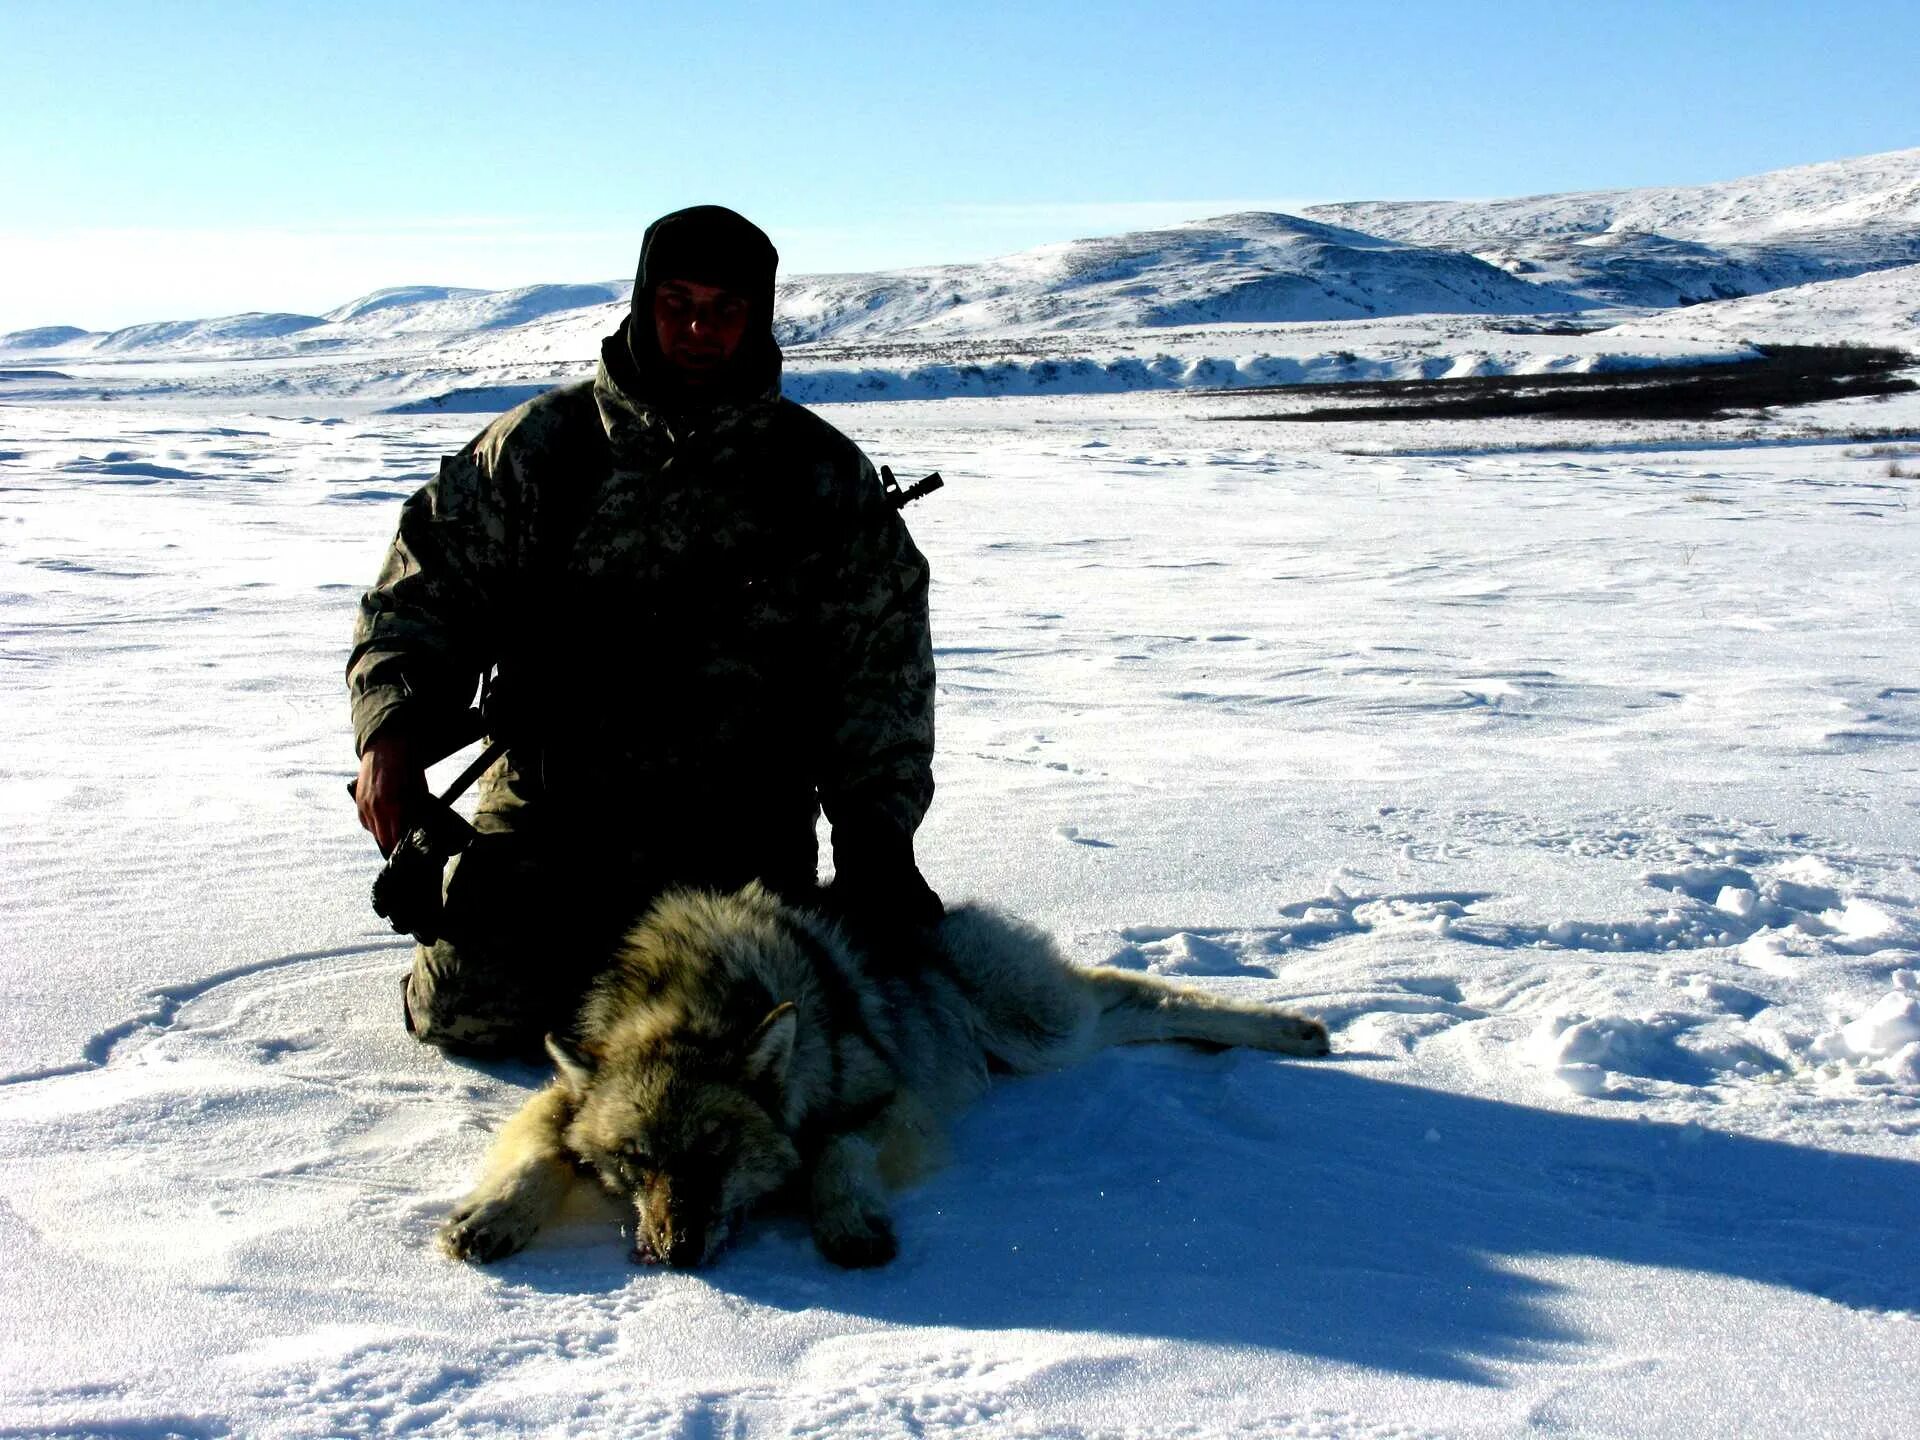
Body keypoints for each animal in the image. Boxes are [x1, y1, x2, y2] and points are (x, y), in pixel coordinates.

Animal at [439, 887, 1328, 1267]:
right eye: (635, 1162)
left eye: (717, 1152)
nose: (674, 1254)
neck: (692, 1001)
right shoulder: (560, 1098)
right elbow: (539, 1152)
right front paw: (493, 1215)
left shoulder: (889, 1101)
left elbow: (837, 1153)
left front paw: (848, 1223)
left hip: (1039, 1035)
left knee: (1136, 993)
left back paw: (1291, 1030)